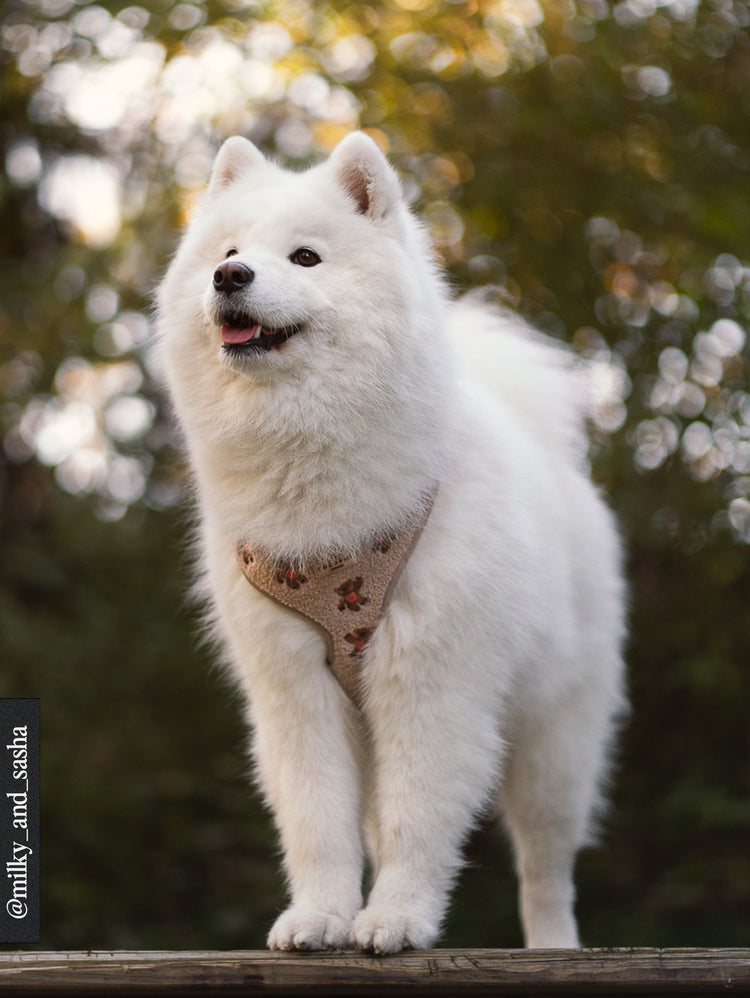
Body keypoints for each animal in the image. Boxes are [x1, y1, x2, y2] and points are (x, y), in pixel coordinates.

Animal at [157, 131, 628, 952]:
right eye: (230, 250)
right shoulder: (294, 690)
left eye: (305, 257)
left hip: (555, 740)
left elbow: (420, 819)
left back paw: (554, 945)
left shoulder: (430, 682)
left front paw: (399, 919)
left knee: (546, 863)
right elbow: (317, 822)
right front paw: (321, 916)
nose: (230, 276)